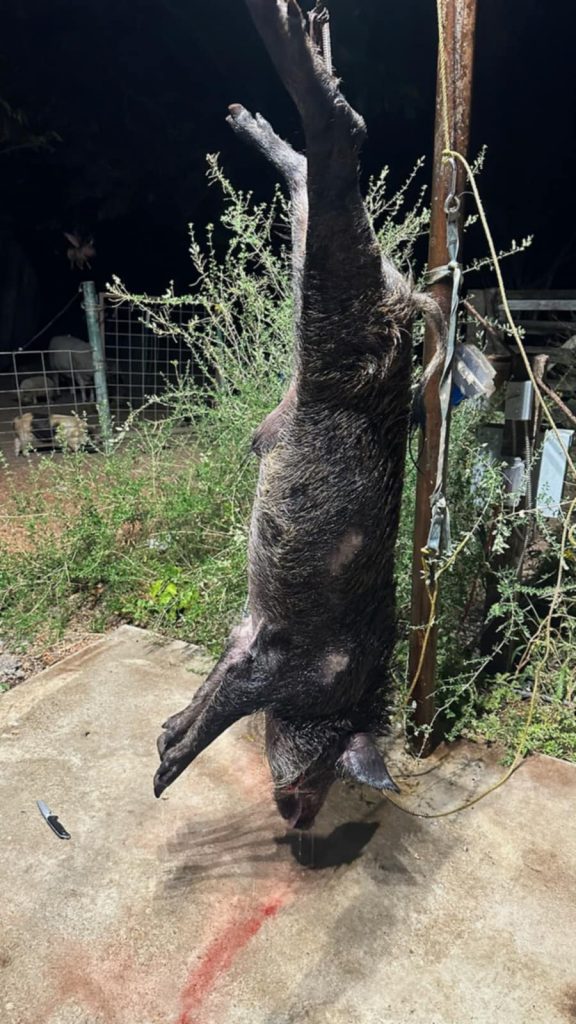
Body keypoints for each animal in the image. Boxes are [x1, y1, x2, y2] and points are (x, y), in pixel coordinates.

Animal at [154, 0, 443, 829]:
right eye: (328, 772)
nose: (297, 816)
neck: (340, 695)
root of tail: (404, 299)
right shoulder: (292, 667)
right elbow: (227, 704)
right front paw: (164, 769)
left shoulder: (251, 635)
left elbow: (217, 680)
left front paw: (162, 736)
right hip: (344, 314)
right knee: (339, 144)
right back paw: (293, 47)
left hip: (329, 306)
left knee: (313, 181)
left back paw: (263, 86)